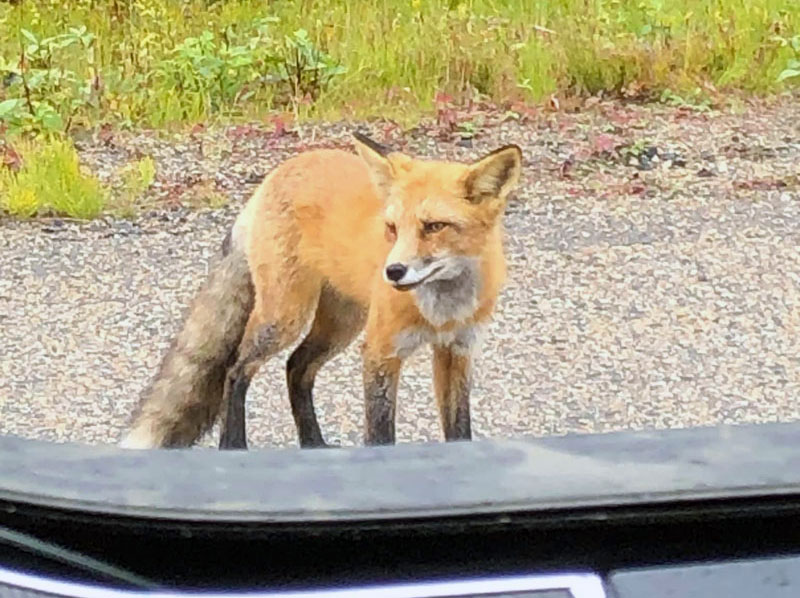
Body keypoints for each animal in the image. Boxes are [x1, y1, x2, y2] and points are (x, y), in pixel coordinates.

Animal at [117, 131, 520, 450]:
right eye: (392, 228)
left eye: (434, 226)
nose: (393, 272)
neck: (442, 310)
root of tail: (279, 171)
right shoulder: (381, 351)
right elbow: (380, 432)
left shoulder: (457, 350)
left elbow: (459, 428)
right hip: (285, 318)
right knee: (236, 368)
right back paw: (233, 447)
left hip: (341, 324)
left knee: (296, 367)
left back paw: (313, 445)